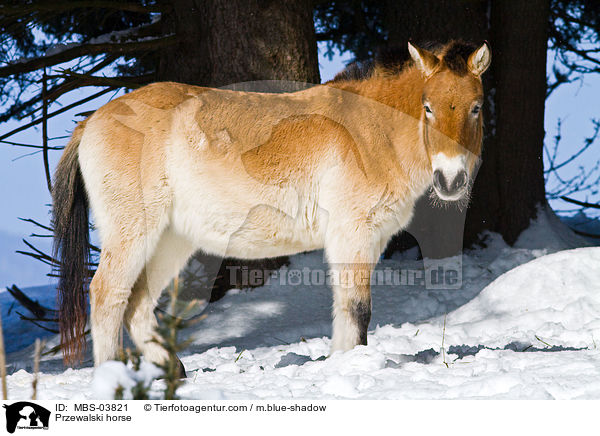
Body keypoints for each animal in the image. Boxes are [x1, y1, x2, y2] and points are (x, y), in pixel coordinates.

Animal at [54, 40, 490, 372]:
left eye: (476, 107)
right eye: (428, 107)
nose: (450, 180)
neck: (370, 131)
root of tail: (92, 121)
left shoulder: (367, 239)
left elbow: (347, 309)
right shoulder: (352, 235)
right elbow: (357, 309)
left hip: (170, 241)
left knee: (138, 303)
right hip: (133, 232)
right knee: (107, 295)